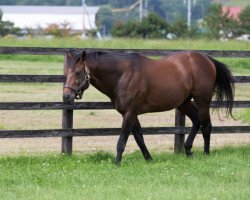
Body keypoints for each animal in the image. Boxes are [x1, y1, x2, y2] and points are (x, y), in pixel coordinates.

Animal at [63, 50, 234, 164]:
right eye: (66, 72)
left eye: (78, 72)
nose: (66, 96)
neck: (123, 75)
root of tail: (207, 59)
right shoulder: (131, 114)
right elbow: (139, 137)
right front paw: (149, 159)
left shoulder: (129, 113)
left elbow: (122, 140)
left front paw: (117, 162)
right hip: (183, 103)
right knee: (197, 121)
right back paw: (188, 150)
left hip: (202, 101)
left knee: (206, 126)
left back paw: (206, 154)